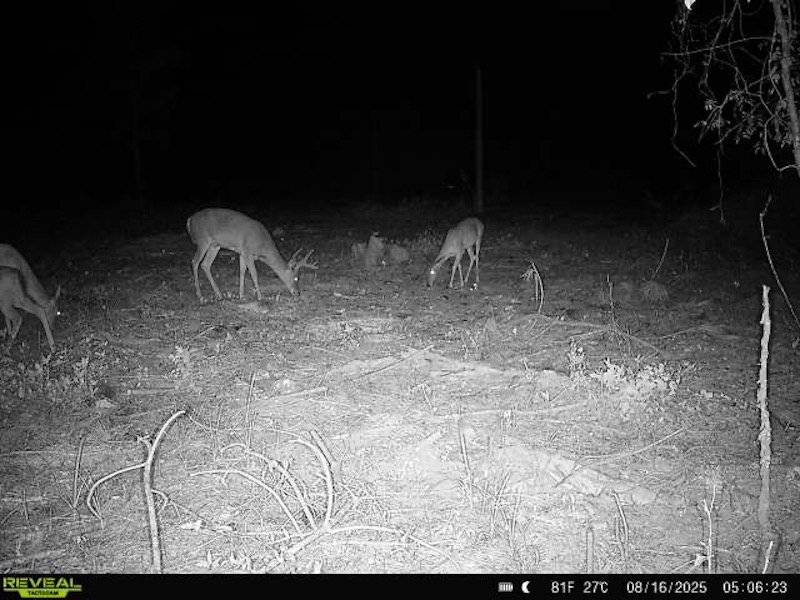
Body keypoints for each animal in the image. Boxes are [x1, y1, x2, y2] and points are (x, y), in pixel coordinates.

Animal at [186, 208, 318, 303]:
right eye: (296, 278)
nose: (297, 293)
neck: (263, 247)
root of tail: (190, 219)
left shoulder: (242, 253)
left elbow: (242, 272)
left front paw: (241, 295)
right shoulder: (248, 251)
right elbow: (254, 273)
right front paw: (260, 297)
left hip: (215, 245)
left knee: (205, 264)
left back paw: (219, 295)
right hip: (203, 240)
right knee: (195, 262)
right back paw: (201, 296)